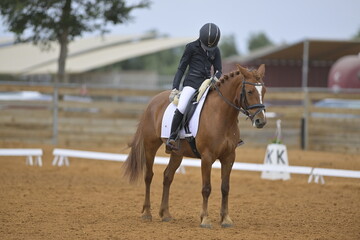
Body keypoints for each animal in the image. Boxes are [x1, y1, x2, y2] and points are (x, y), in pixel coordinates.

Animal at [122, 64, 266, 229]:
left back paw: (165, 214)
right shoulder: (207, 157)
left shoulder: (229, 157)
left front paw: (225, 219)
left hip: (177, 153)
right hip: (150, 146)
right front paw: (205, 220)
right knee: (148, 176)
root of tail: (153, 101)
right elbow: (206, 188)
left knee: (167, 177)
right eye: (250, 91)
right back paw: (147, 213)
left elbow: (225, 188)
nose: (261, 121)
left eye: (264, 90)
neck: (221, 116)